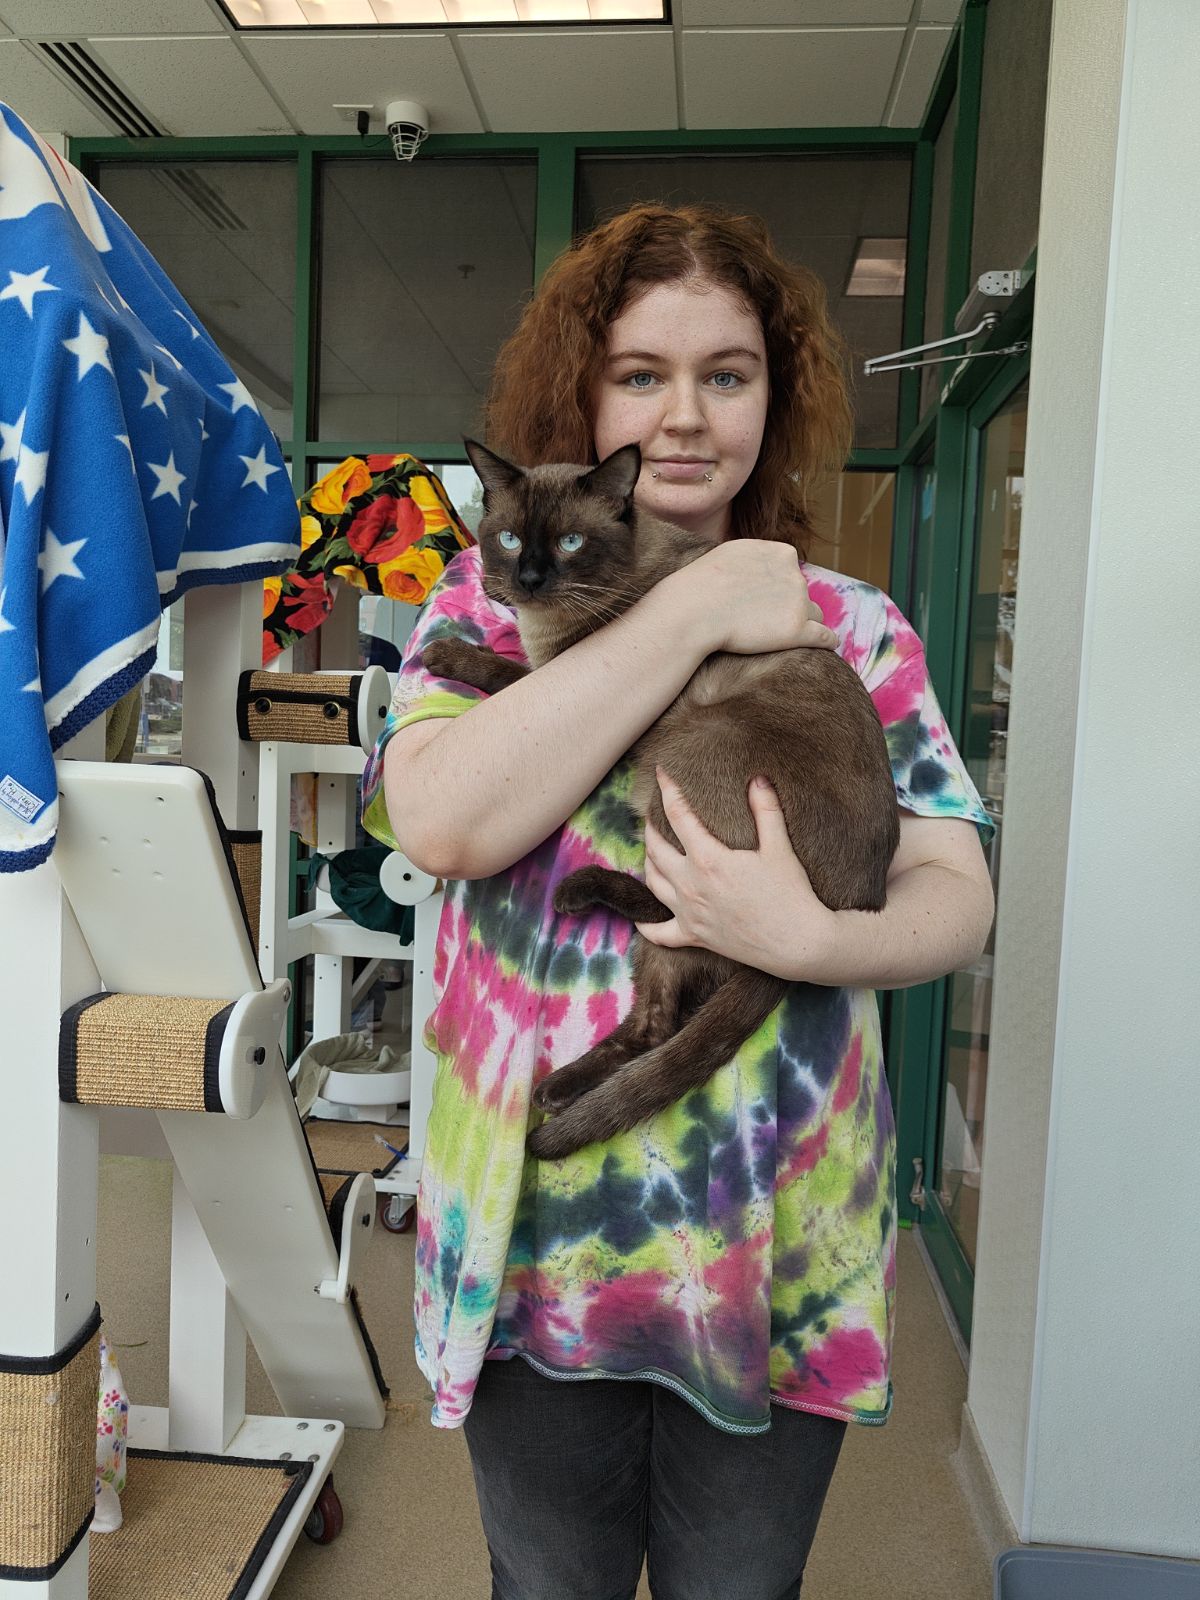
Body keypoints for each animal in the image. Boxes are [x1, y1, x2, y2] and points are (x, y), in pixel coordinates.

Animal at [420, 440, 900, 1161]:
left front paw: (443, 652)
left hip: (685, 761)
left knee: (679, 923)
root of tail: (838, 914)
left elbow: (502, 675)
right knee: (654, 1024)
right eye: (509, 539)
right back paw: (557, 1092)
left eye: (569, 543)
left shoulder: (563, 680)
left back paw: (579, 897)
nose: (525, 581)